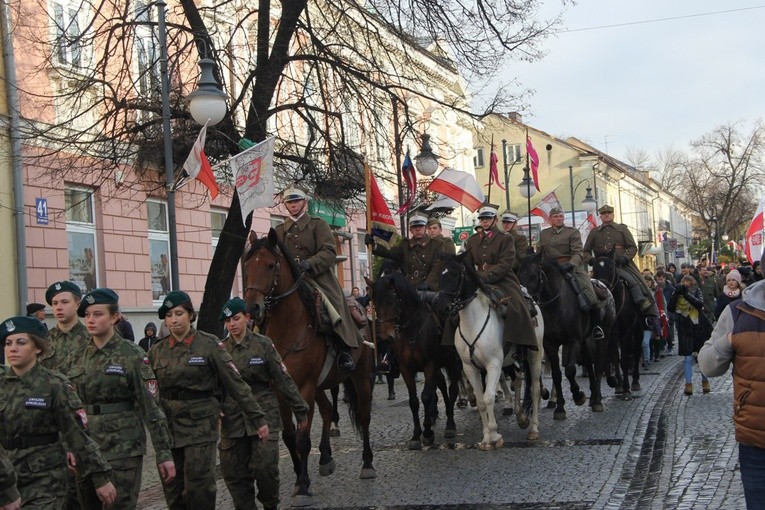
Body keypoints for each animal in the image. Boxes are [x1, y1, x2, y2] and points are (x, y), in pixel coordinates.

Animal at [245, 229, 376, 508]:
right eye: (247, 265)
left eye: (270, 265)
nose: (252, 308)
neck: (289, 328)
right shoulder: (282, 390)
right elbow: (289, 436)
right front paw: (297, 477)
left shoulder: (304, 388)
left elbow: (303, 439)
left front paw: (304, 485)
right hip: (320, 386)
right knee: (327, 411)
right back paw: (325, 457)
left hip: (360, 377)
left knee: (363, 416)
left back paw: (367, 464)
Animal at [364, 272, 460, 448]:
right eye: (375, 304)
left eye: (392, 301)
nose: (386, 337)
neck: (412, 330)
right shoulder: (405, 368)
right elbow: (414, 401)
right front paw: (416, 435)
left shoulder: (429, 365)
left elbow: (426, 397)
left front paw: (427, 432)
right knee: (443, 386)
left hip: (454, 363)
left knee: (453, 389)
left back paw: (450, 424)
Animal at [436, 253, 544, 448]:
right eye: (440, 274)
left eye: (455, 274)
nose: (442, 306)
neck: (473, 323)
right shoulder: (469, 367)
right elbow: (480, 401)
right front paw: (486, 437)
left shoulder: (493, 364)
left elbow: (489, 398)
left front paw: (494, 435)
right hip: (510, 360)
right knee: (517, 379)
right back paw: (521, 417)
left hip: (534, 355)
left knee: (535, 389)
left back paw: (533, 428)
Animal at [516, 251, 612, 418]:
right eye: (519, 276)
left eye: (534, 275)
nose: (526, 306)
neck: (556, 306)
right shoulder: (550, 345)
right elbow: (556, 374)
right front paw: (560, 408)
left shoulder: (573, 341)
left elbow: (570, 370)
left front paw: (578, 396)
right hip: (585, 341)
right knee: (588, 362)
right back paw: (593, 396)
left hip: (600, 337)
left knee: (599, 366)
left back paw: (598, 400)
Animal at [588, 256, 640, 400]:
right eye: (594, 268)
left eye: (611, 268)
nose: (602, 288)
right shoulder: (610, 333)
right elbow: (613, 357)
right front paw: (616, 383)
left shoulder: (625, 332)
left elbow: (624, 360)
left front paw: (626, 388)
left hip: (638, 329)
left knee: (637, 351)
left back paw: (635, 382)